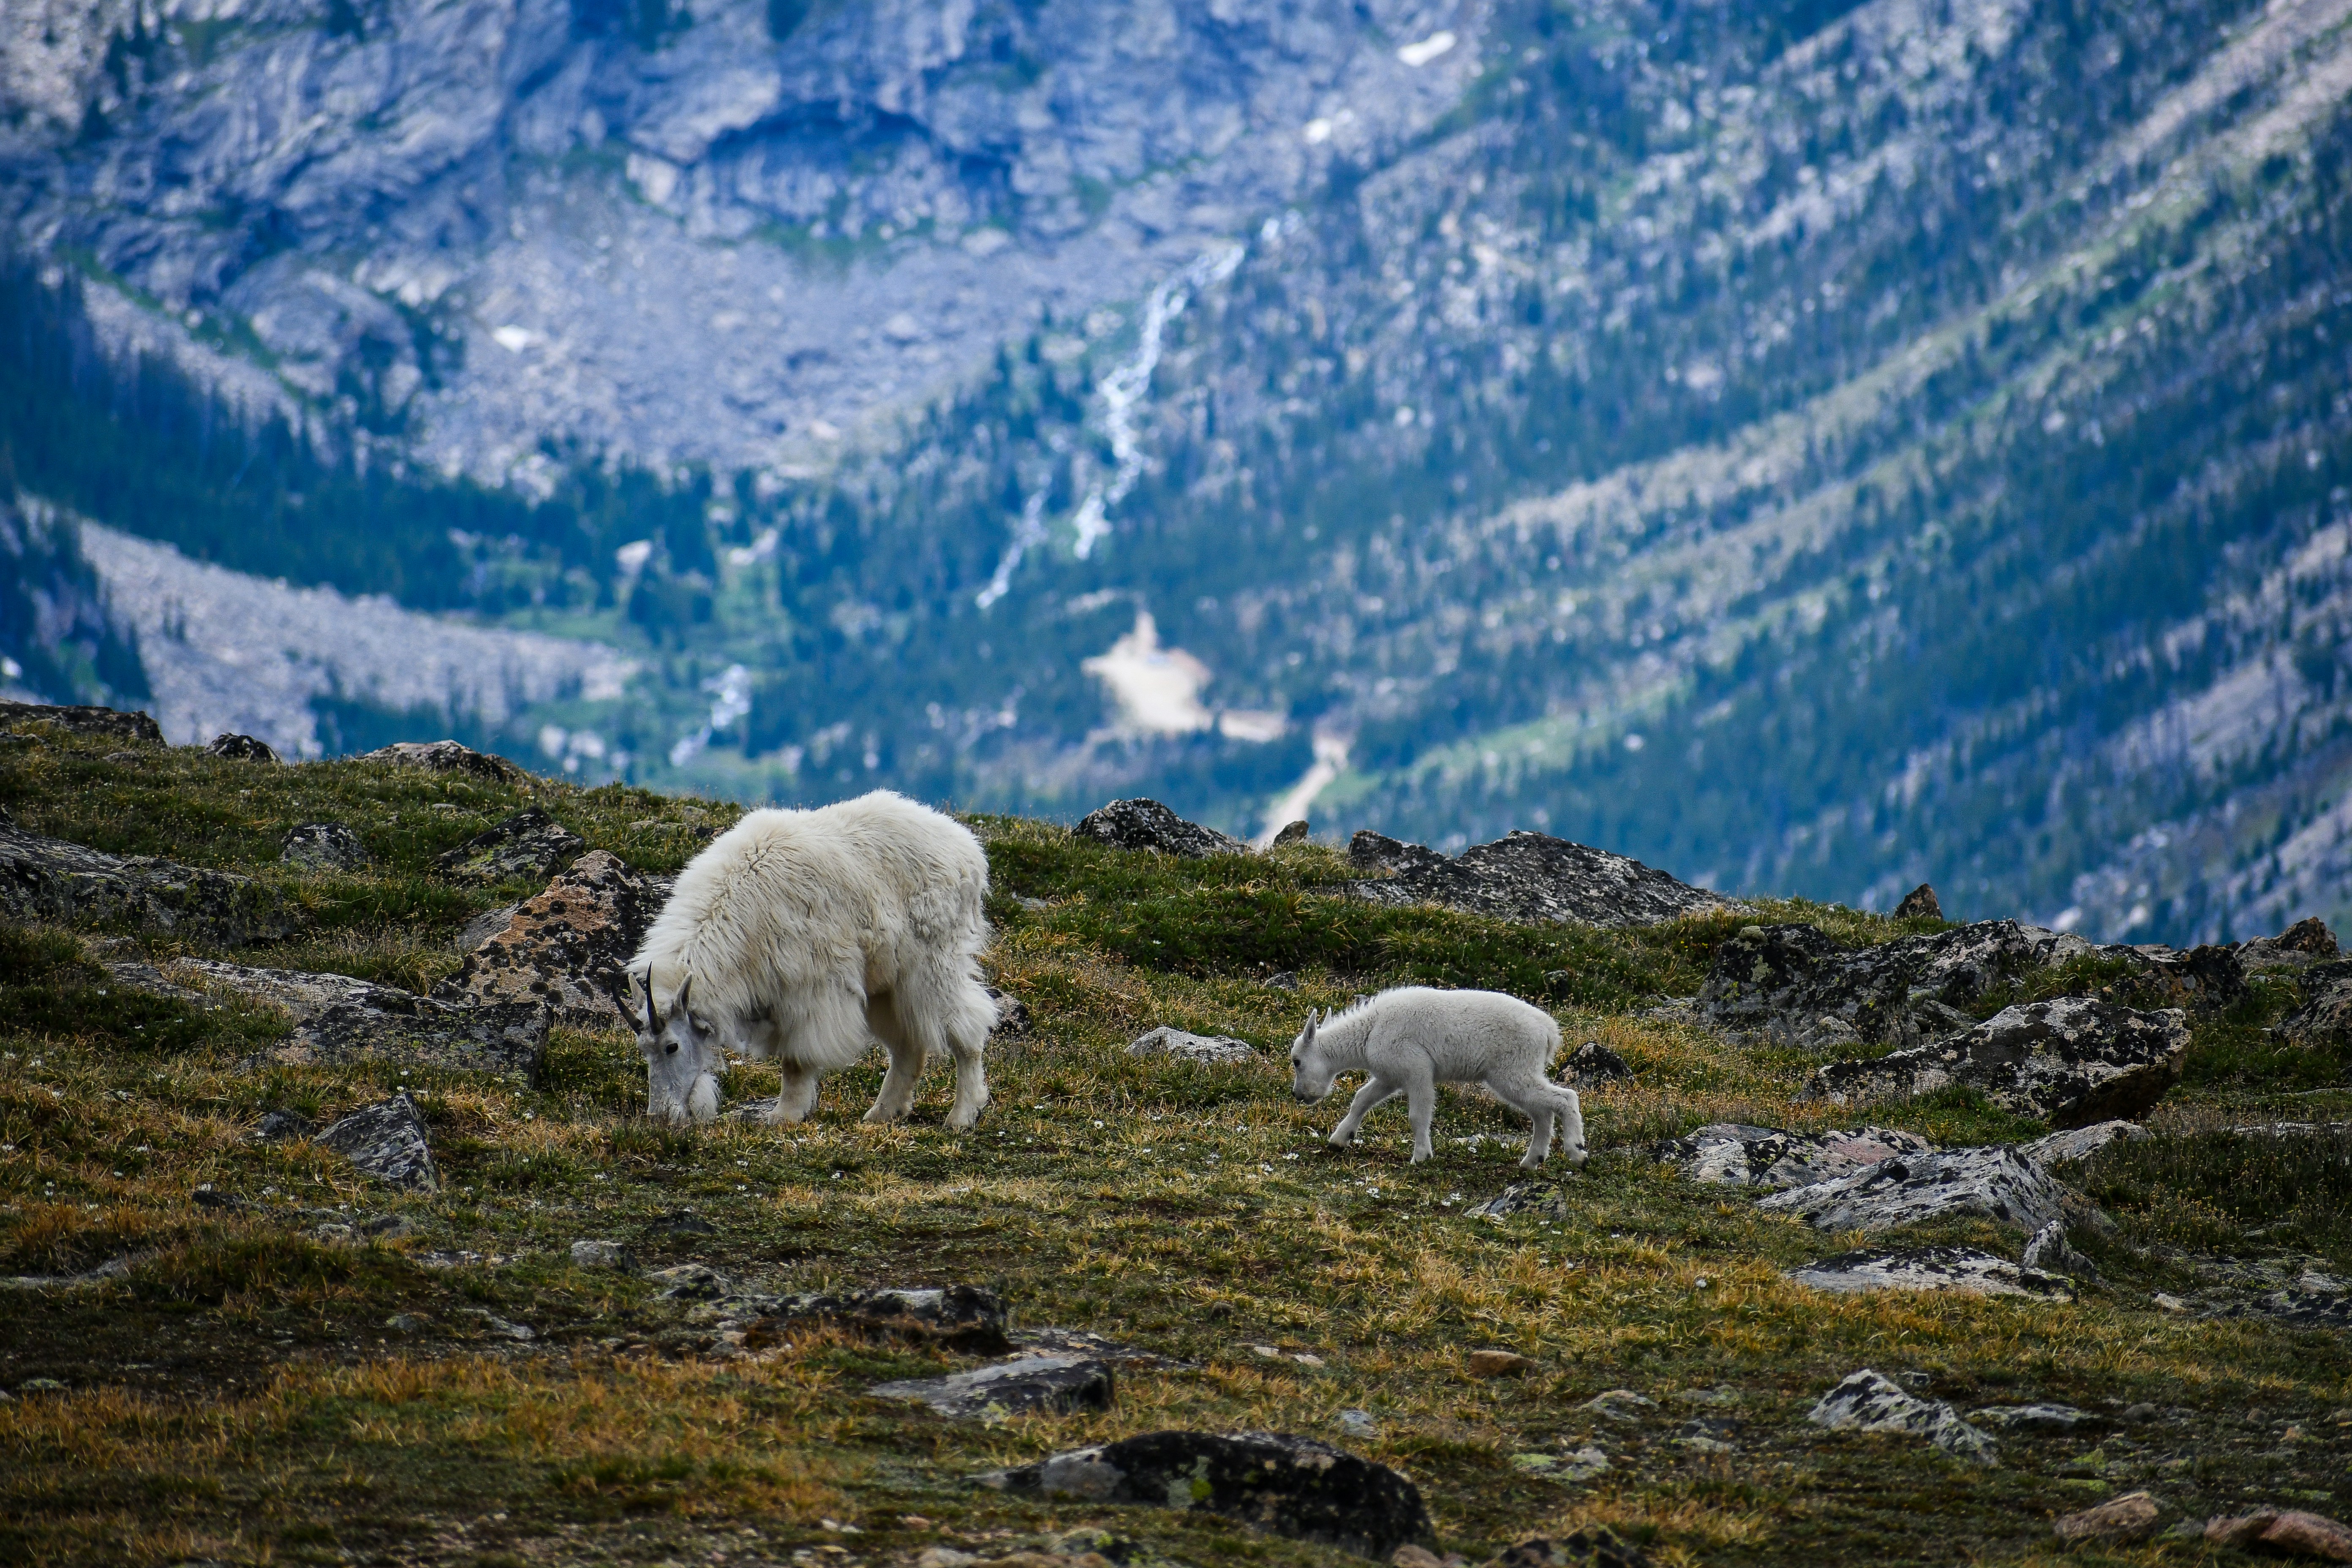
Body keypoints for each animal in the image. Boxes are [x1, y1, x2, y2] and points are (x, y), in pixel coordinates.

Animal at [617, 791, 997, 1130]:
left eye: (672, 1046)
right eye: (643, 1049)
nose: (661, 1116)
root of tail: (971, 853)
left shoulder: (809, 989)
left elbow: (797, 1059)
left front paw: (784, 1115)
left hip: (935, 962)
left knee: (966, 1026)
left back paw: (963, 1115)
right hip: (887, 983)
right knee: (908, 1043)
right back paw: (883, 1113)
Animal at [1288, 987, 1586, 1167]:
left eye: (1297, 1061)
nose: (1299, 1095)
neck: (1369, 1031)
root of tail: (1549, 1032)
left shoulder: (1416, 1069)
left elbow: (1418, 1115)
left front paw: (1421, 1157)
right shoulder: (1390, 1076)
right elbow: (1362, 1099)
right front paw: (1340, 1140)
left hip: (1513, 1071)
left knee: (1565, 1098)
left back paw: (1577, 1152)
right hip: (1521, 1073)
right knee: (1543, 1112)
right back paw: (1532, 1162)